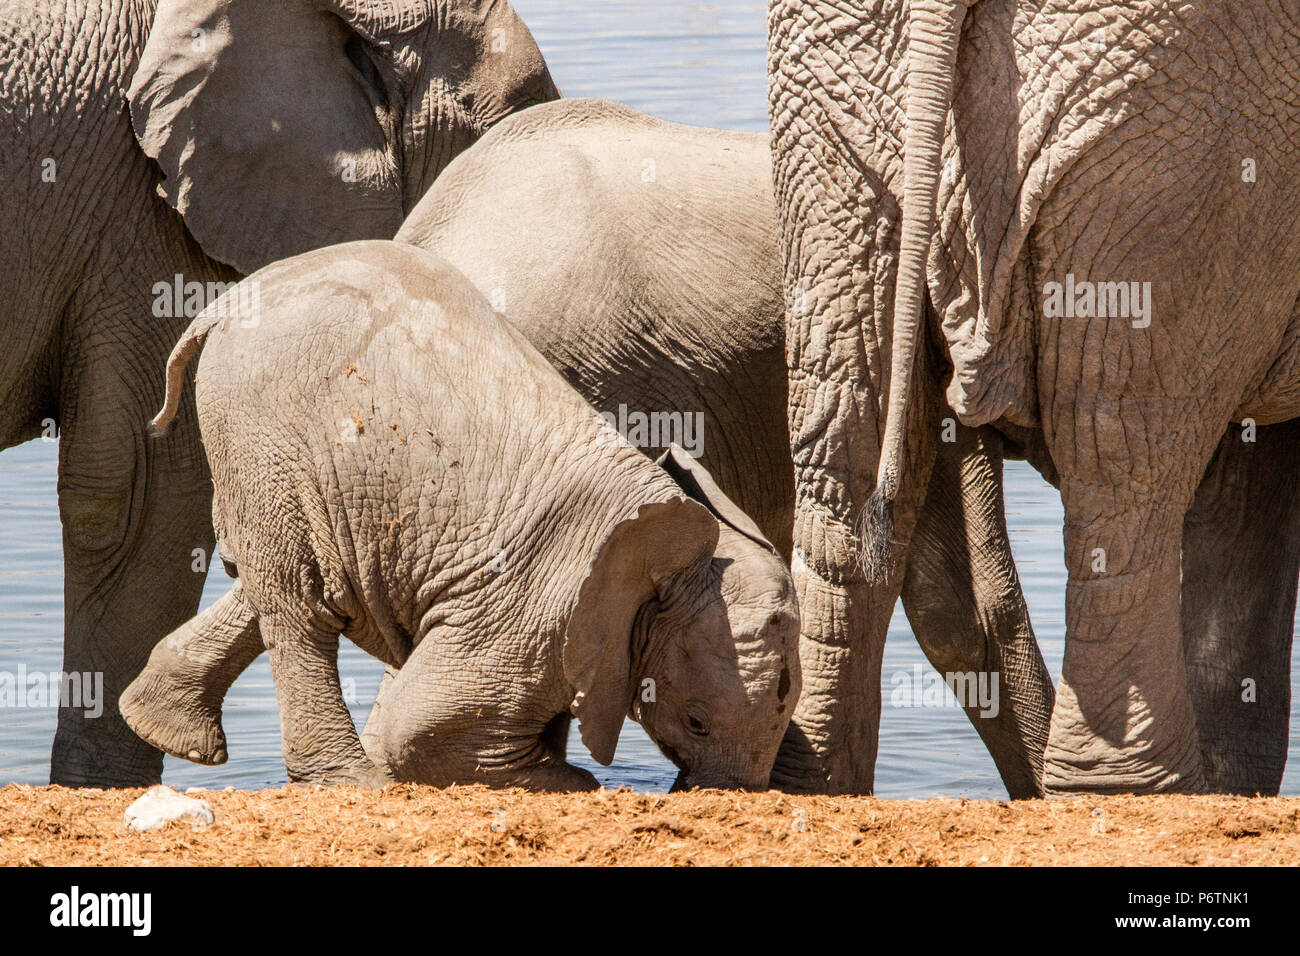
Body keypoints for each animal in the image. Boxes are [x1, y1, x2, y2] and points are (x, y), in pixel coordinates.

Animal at [122, 240, 795, 790]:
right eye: (697, 722)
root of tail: (223, 306)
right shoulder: (532, 610)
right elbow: (418, 729)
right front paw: (576, 779)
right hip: (260, 429)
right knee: (299, 601)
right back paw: (352, 782)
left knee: (295, 580)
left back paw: (161, 726)